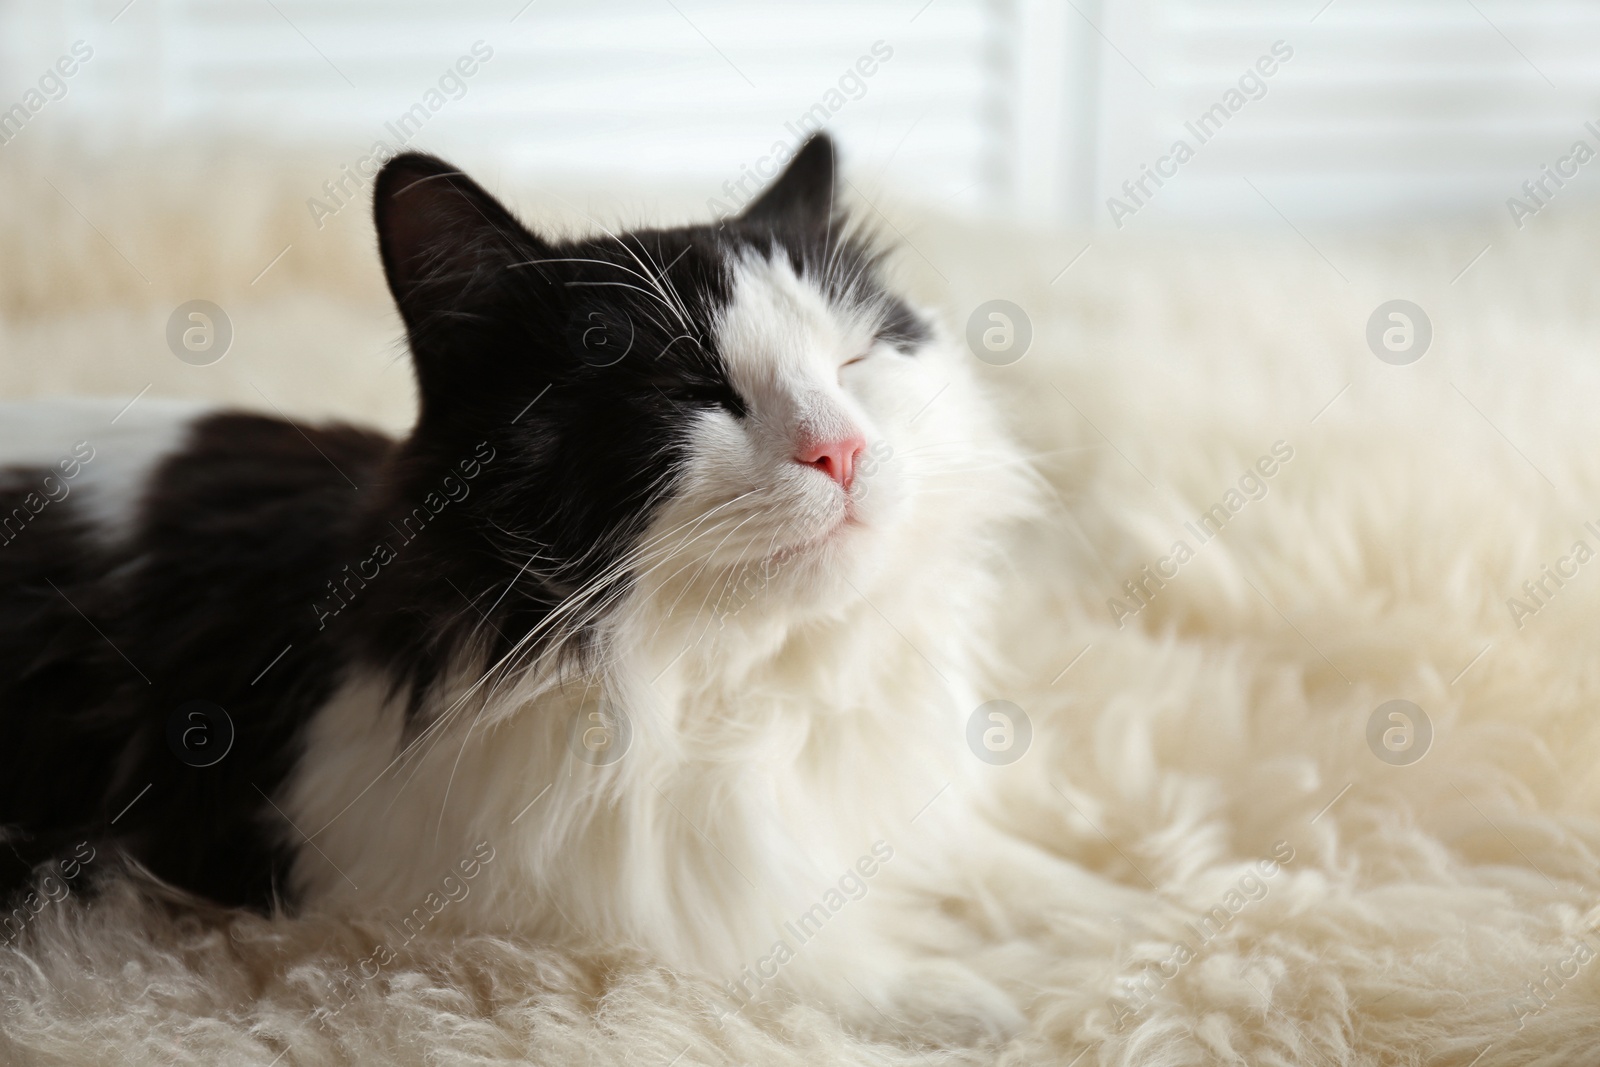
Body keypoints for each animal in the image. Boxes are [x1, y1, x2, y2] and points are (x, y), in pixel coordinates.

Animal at [0, 135, 1043, 1043]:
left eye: (856, 361)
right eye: (687, 391)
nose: (842, 449)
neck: (739, 682)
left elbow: (1011, 866)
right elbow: (795, 958)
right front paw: (974, 991)